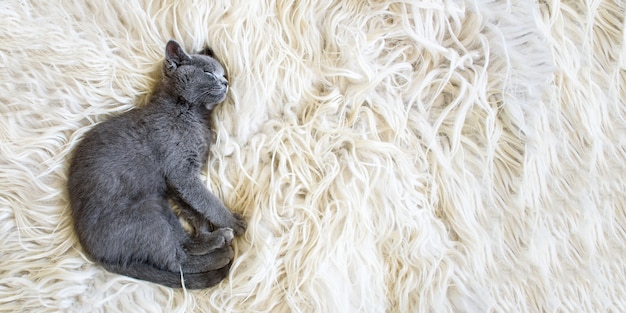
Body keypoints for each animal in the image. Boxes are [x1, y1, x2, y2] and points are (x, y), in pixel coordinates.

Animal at [66, 40, 246, 288]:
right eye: (208, 72)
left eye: (223, 73)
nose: (226, 82)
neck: (191, 113)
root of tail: (96, 255)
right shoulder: (182, 172)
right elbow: (206, 201)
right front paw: (232, 222)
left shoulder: (177, 181)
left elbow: (194, 208)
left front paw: (204, 228)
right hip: (147, 219)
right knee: (176, 261)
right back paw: (223, 250)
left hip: (159, 207)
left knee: (183, 244)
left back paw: (213, 240)